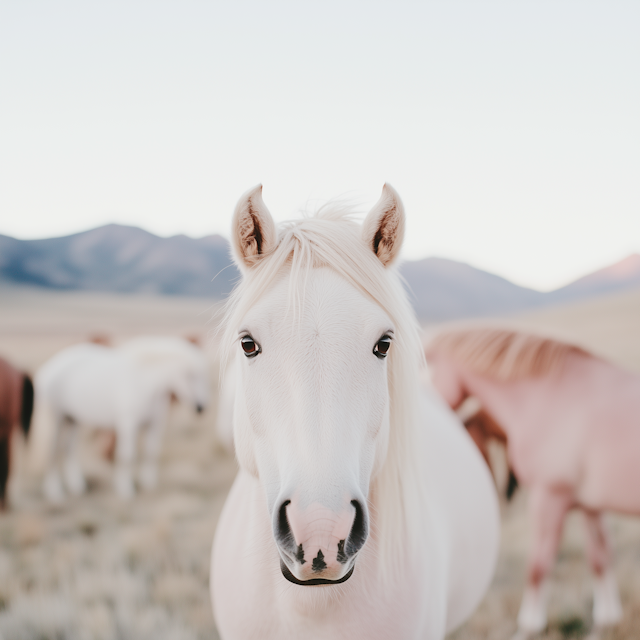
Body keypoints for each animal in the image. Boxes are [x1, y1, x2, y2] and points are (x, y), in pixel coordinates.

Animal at [32, 336, 209, 500]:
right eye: (189, 375)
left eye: (202, 375)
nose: (201, 407)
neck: (145, 383)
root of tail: (46, 370)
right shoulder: (128, 426)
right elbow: (127, 456)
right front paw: (125, 490)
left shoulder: (155, 424)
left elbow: (151, 453)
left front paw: (149, 486)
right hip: (56, 421)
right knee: (52, 452)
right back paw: (55, 493)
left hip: (73, 420)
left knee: (68, 450)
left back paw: (77, 487)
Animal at [422, 330, 636, 640]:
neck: (550, 398)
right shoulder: (590, 505)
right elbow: (600, 557)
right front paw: (605, 623)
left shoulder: (549, 498)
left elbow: (537, 567)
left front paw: (527, 628)